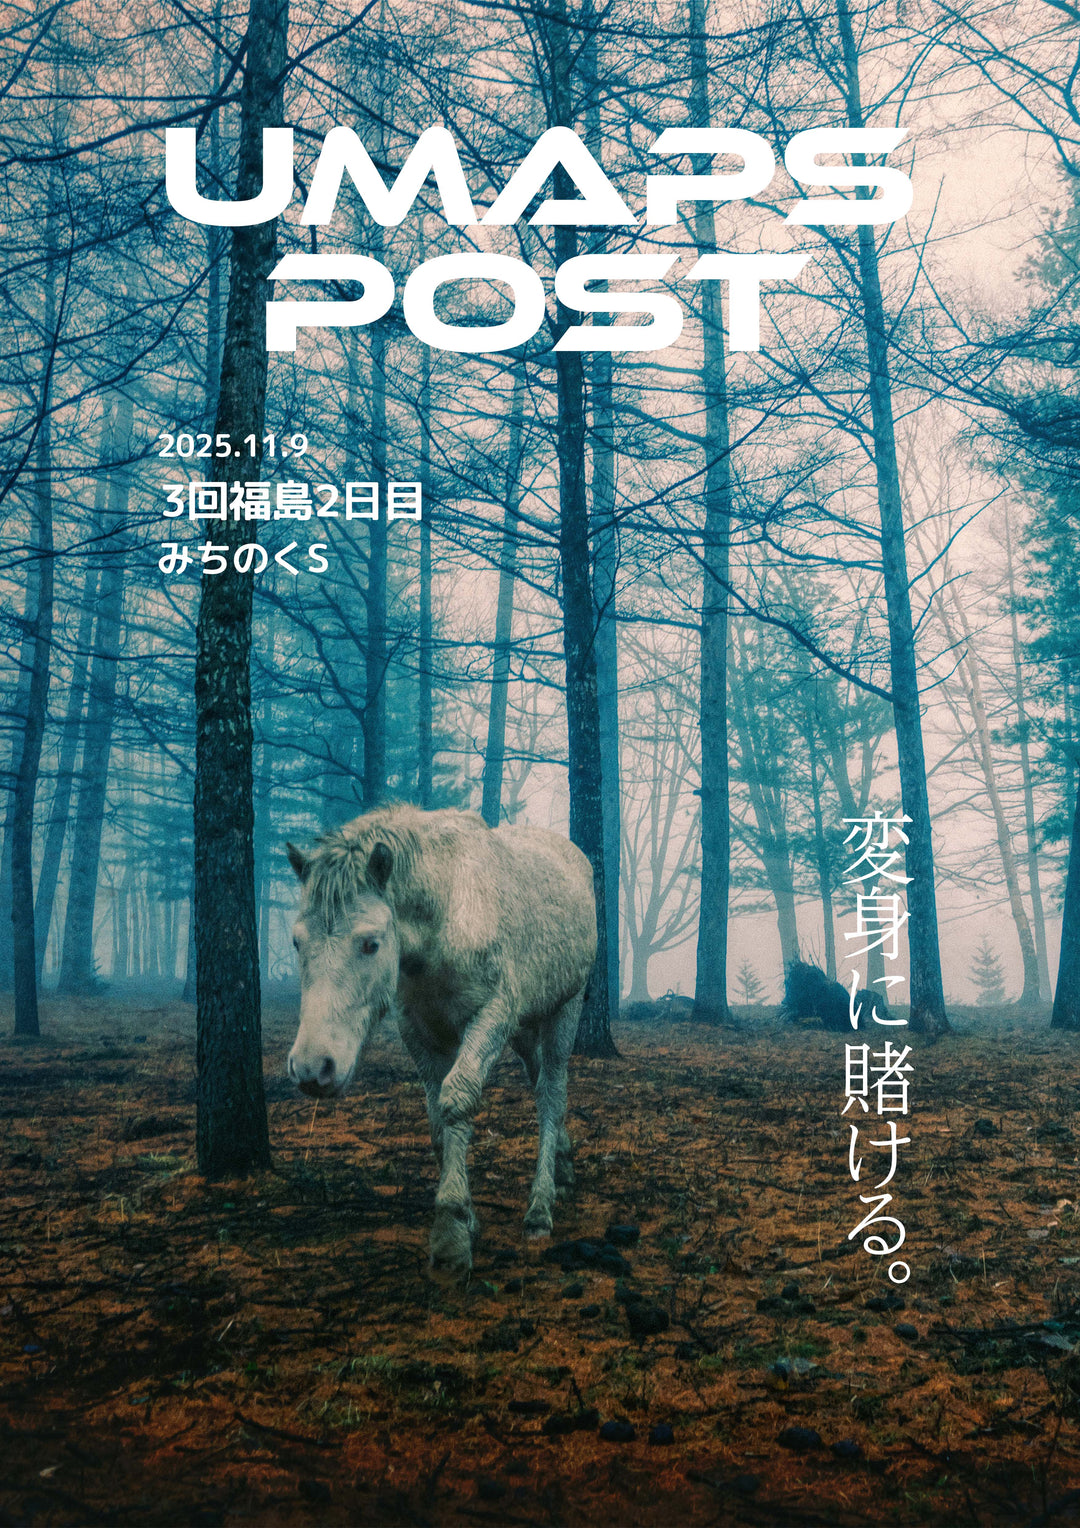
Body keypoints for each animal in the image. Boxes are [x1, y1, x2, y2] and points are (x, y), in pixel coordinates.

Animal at [284, 803, 597, 1277]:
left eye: (370, 943)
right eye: (297, 942)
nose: (312, 1066)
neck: (445, 913)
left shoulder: (490, 1017)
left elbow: (456, 1102)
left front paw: (451, 1233)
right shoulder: (419, 1032)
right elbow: (435, 1122)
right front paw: (466, 1218)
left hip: (565, 1008)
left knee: (552, 1094)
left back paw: (540, 1208)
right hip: (525, 1026)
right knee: (540, 1079)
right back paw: (562, 1166)